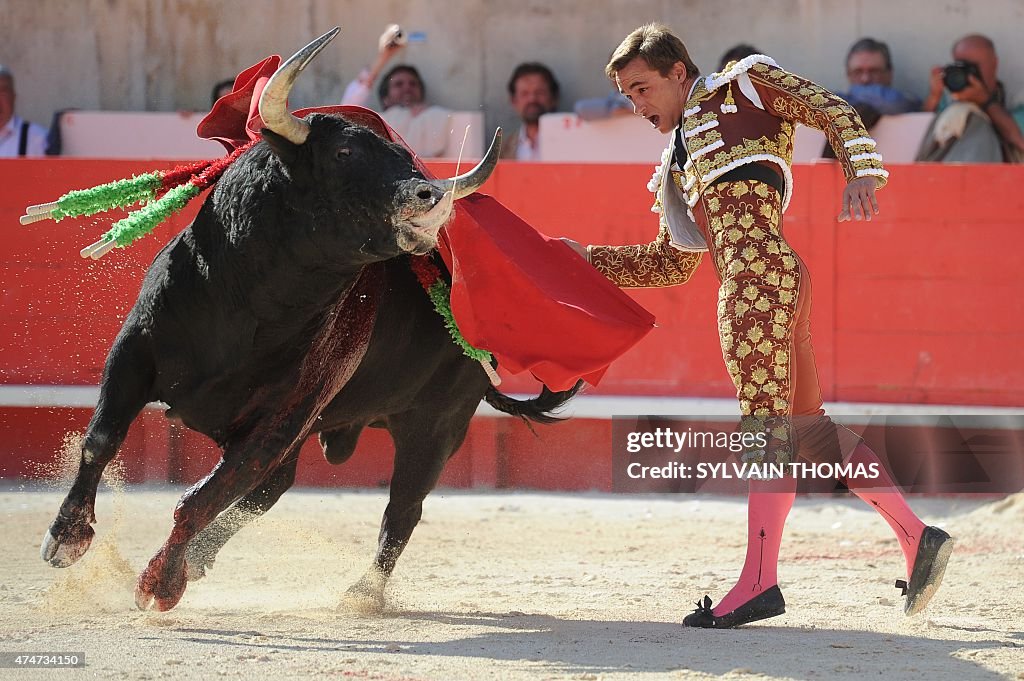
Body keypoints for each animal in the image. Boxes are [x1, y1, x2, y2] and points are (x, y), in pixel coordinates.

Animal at [39, 29, 581, 610]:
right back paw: (203, 560)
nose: (432, 196)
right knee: (271, 493)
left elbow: (201, 497)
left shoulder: (282, 418)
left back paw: (360, 595)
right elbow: (100, 441)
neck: (250, 305)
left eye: (404, 158)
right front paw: (66, 539)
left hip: (438, 424)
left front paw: (158, 584)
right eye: (344, 152)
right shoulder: (134, 352)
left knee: (401, 509)